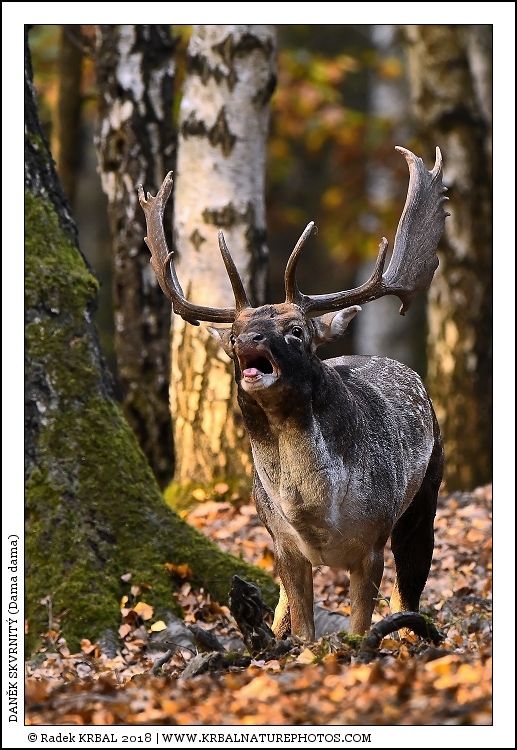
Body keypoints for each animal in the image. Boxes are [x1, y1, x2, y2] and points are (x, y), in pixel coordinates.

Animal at [138, 145, 449, 641]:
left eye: (296, 329)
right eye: (233, 335)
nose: (248, 340)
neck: (314, 513)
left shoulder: (372, 541)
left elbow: (360, 627)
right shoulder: (283, 546)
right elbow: (302, 632)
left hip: (426, 493)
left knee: (410, 590)